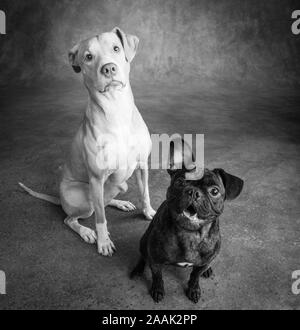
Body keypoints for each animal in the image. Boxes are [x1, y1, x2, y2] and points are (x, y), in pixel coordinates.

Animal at [131, 141, 244, 302]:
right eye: (180, 182)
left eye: (214, 191)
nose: (193, 192)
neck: (190, 233)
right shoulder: (156, 260)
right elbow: (157, 276)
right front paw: (158, 290)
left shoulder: (201, 264)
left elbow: (194, 276)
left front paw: (194, 289)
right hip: (144, 240)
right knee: (143, 255)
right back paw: (138, 269)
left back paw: (208, 270)